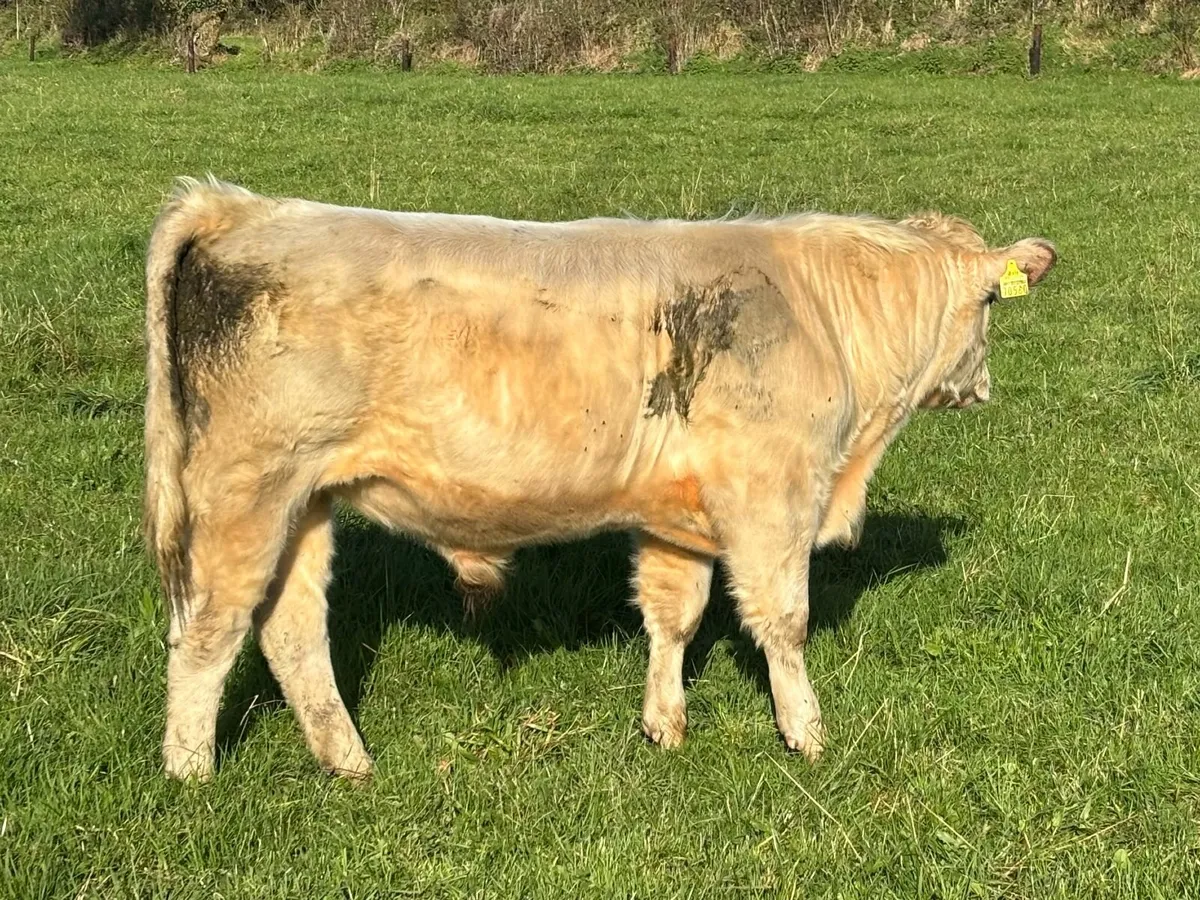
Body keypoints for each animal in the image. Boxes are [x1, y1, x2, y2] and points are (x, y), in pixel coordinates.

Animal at [143, 177, 1057, 781]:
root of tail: (241, 207)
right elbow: (785, 622)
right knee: (208, 633)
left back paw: (349, 761)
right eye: (990, 307)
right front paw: (806, 733)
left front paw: (665, 725)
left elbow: (674, 615)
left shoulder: (678, 512)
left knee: (291, 633)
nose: (981, 387)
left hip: (306, 502)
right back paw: (192, 774)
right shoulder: (771, 495)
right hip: (246, 493)